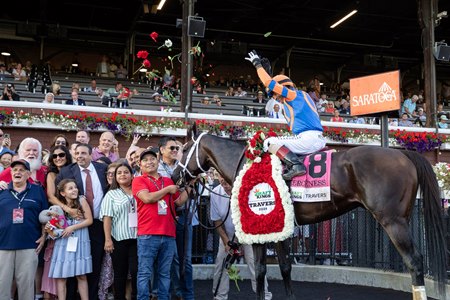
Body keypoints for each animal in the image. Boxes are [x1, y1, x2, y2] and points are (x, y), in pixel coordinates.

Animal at [171, 125, 446, 300]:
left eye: (184, 149)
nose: (174, 176)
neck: (247, 164)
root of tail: (403, 154)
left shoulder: (260, 229)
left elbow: (259, 271)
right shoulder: (279, 228)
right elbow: (284, 268)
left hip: (393, 221)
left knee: (415, 261)